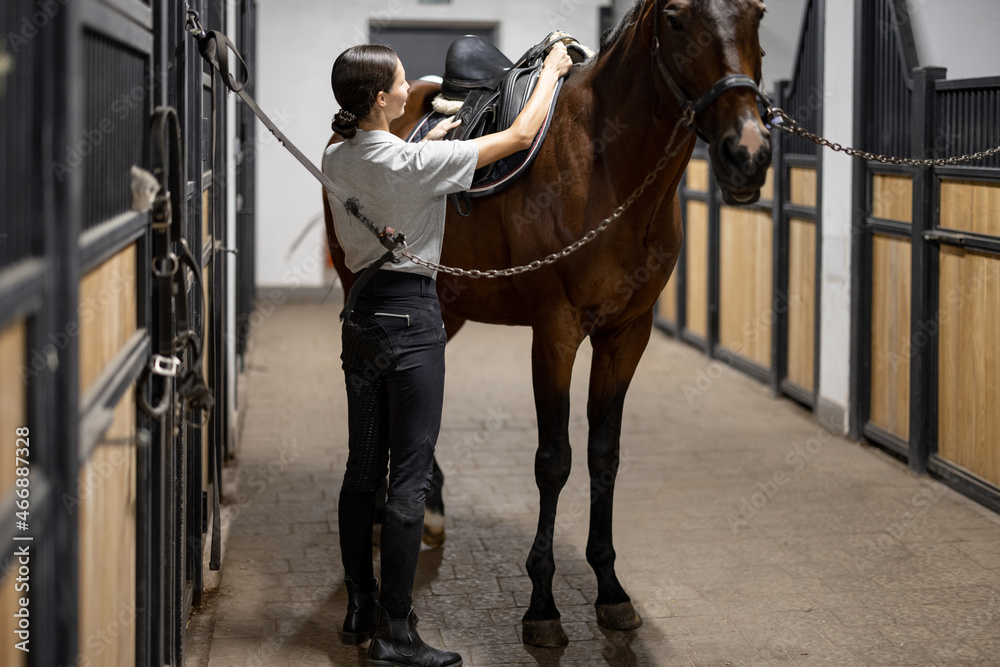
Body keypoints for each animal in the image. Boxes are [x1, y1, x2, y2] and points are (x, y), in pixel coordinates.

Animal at [324, 0, 768, 648]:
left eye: (757, 13)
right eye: (678, 19)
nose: (749, 154)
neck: (605, 163)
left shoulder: (626, 335)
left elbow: (604, 455)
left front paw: (611, 592)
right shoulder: (555, 333)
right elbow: (554, 459)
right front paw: (542, 605)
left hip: (449, 305)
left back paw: (428, 508)